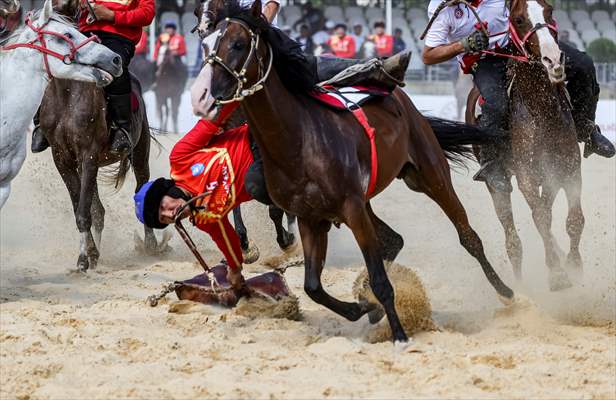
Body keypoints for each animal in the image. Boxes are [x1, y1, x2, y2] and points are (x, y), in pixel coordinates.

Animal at [192, 0, 516, 344]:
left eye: (238, 44)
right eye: (205, 44)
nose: (202, 95)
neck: (300, 138)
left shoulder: (351, 208)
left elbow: (380, 280)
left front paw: (399, 334)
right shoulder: (312, 218)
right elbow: (313, 287)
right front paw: (364, 307)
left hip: (429, 176)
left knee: (467, 236)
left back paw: (506, 291)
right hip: (369, 199)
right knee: (394, 240)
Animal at [466, 0, 584, 290]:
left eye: (549, 11)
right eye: (518, 20)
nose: (554, 60)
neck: (541, 112)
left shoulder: (569, 168)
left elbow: (573, 219)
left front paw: (574, 265)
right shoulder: (526, 177)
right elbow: (540, 218)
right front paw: (557, 273)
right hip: (497, 185)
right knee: (513, 238)